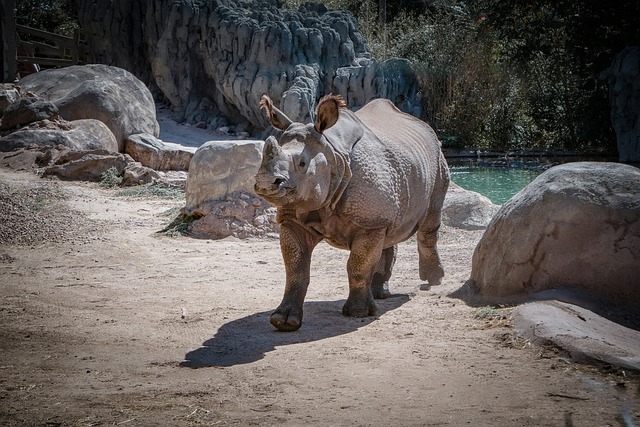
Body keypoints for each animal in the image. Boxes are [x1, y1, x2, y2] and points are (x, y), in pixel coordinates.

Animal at [255, 94, 450, 331]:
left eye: (302, 163)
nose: (266, 183)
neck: (333, 155)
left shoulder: (369, 221)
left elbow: (358, 265)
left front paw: (358, 312)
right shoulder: (294, 217)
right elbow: (295, 268)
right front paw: (283, 321)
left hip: (438, 161)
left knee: (430, 220)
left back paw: (434, 280)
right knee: (389, 230)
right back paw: (379, 293)